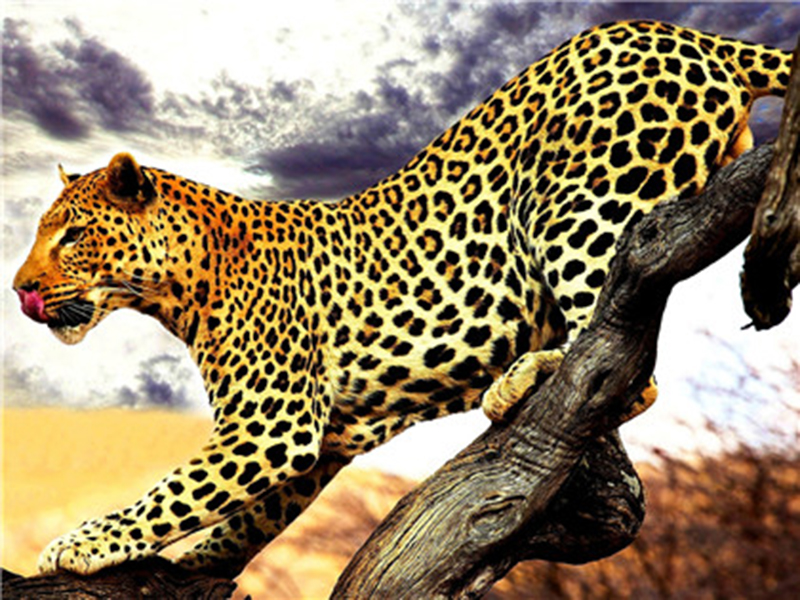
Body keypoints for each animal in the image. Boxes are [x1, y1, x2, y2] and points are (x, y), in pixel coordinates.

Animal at [13, 20, 792, 578]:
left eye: (73, 233)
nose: (19, 289)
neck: (183, 282)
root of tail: (685, 33)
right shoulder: (322, 437)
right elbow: (241, 518)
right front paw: (197, 565)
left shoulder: (271, 424)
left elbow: (173, 492)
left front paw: (80, 544)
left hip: (575, 203)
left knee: (626, 356)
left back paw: (524, 378)